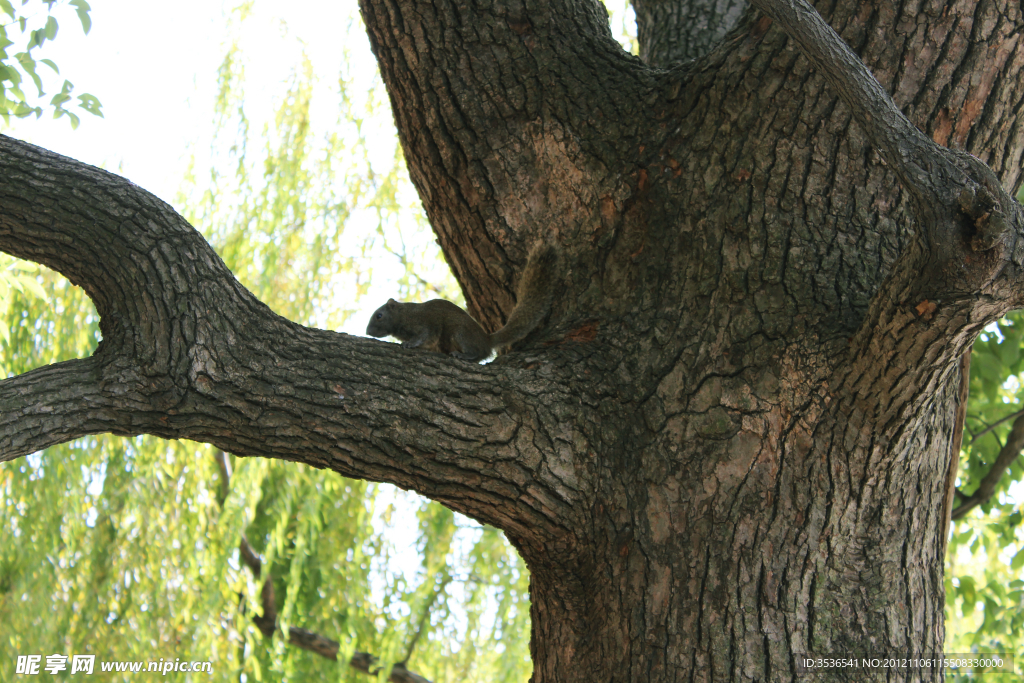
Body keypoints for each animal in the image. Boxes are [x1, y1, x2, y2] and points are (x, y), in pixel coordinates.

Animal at [368, 244, 561, 362]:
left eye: (379, 315)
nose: (367, 332)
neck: (403, 315)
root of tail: (486, 340)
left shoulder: (423, 322)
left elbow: (424, 335)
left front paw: (409, 344)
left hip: (460, 334)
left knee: (478, 353)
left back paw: (463, 355)